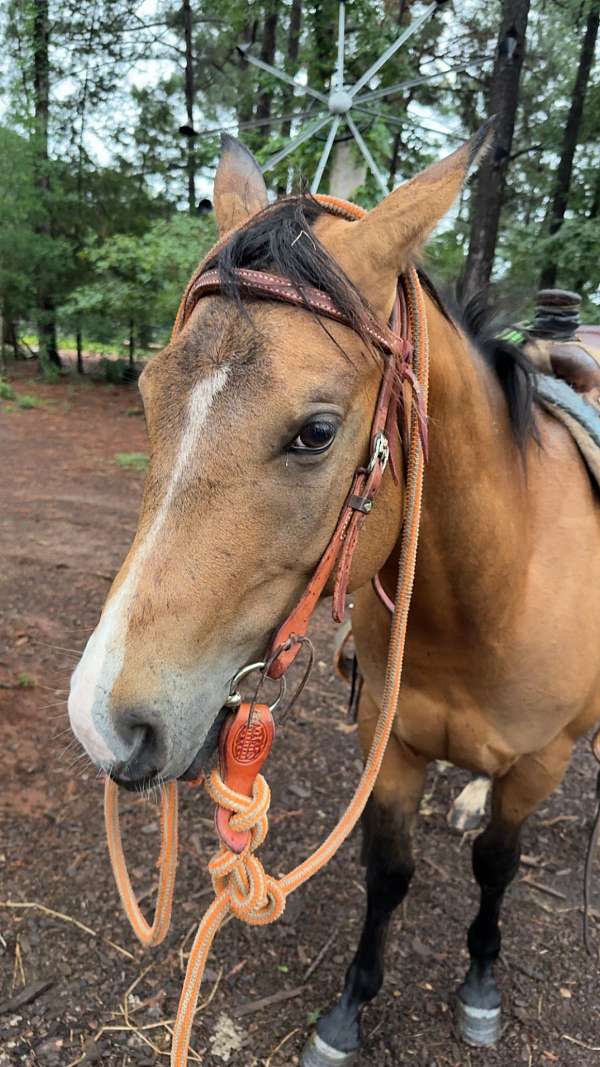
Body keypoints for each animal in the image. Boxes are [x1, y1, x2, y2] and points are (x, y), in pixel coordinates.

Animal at [68, 130, 600, 1065]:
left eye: (316, 431)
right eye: (148, 395)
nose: (104, 720)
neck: (490, 598)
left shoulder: (542, 762)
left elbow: (497, 866)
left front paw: (481, 985)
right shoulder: (387, 747)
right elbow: (388, 872)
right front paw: (350, 1008)